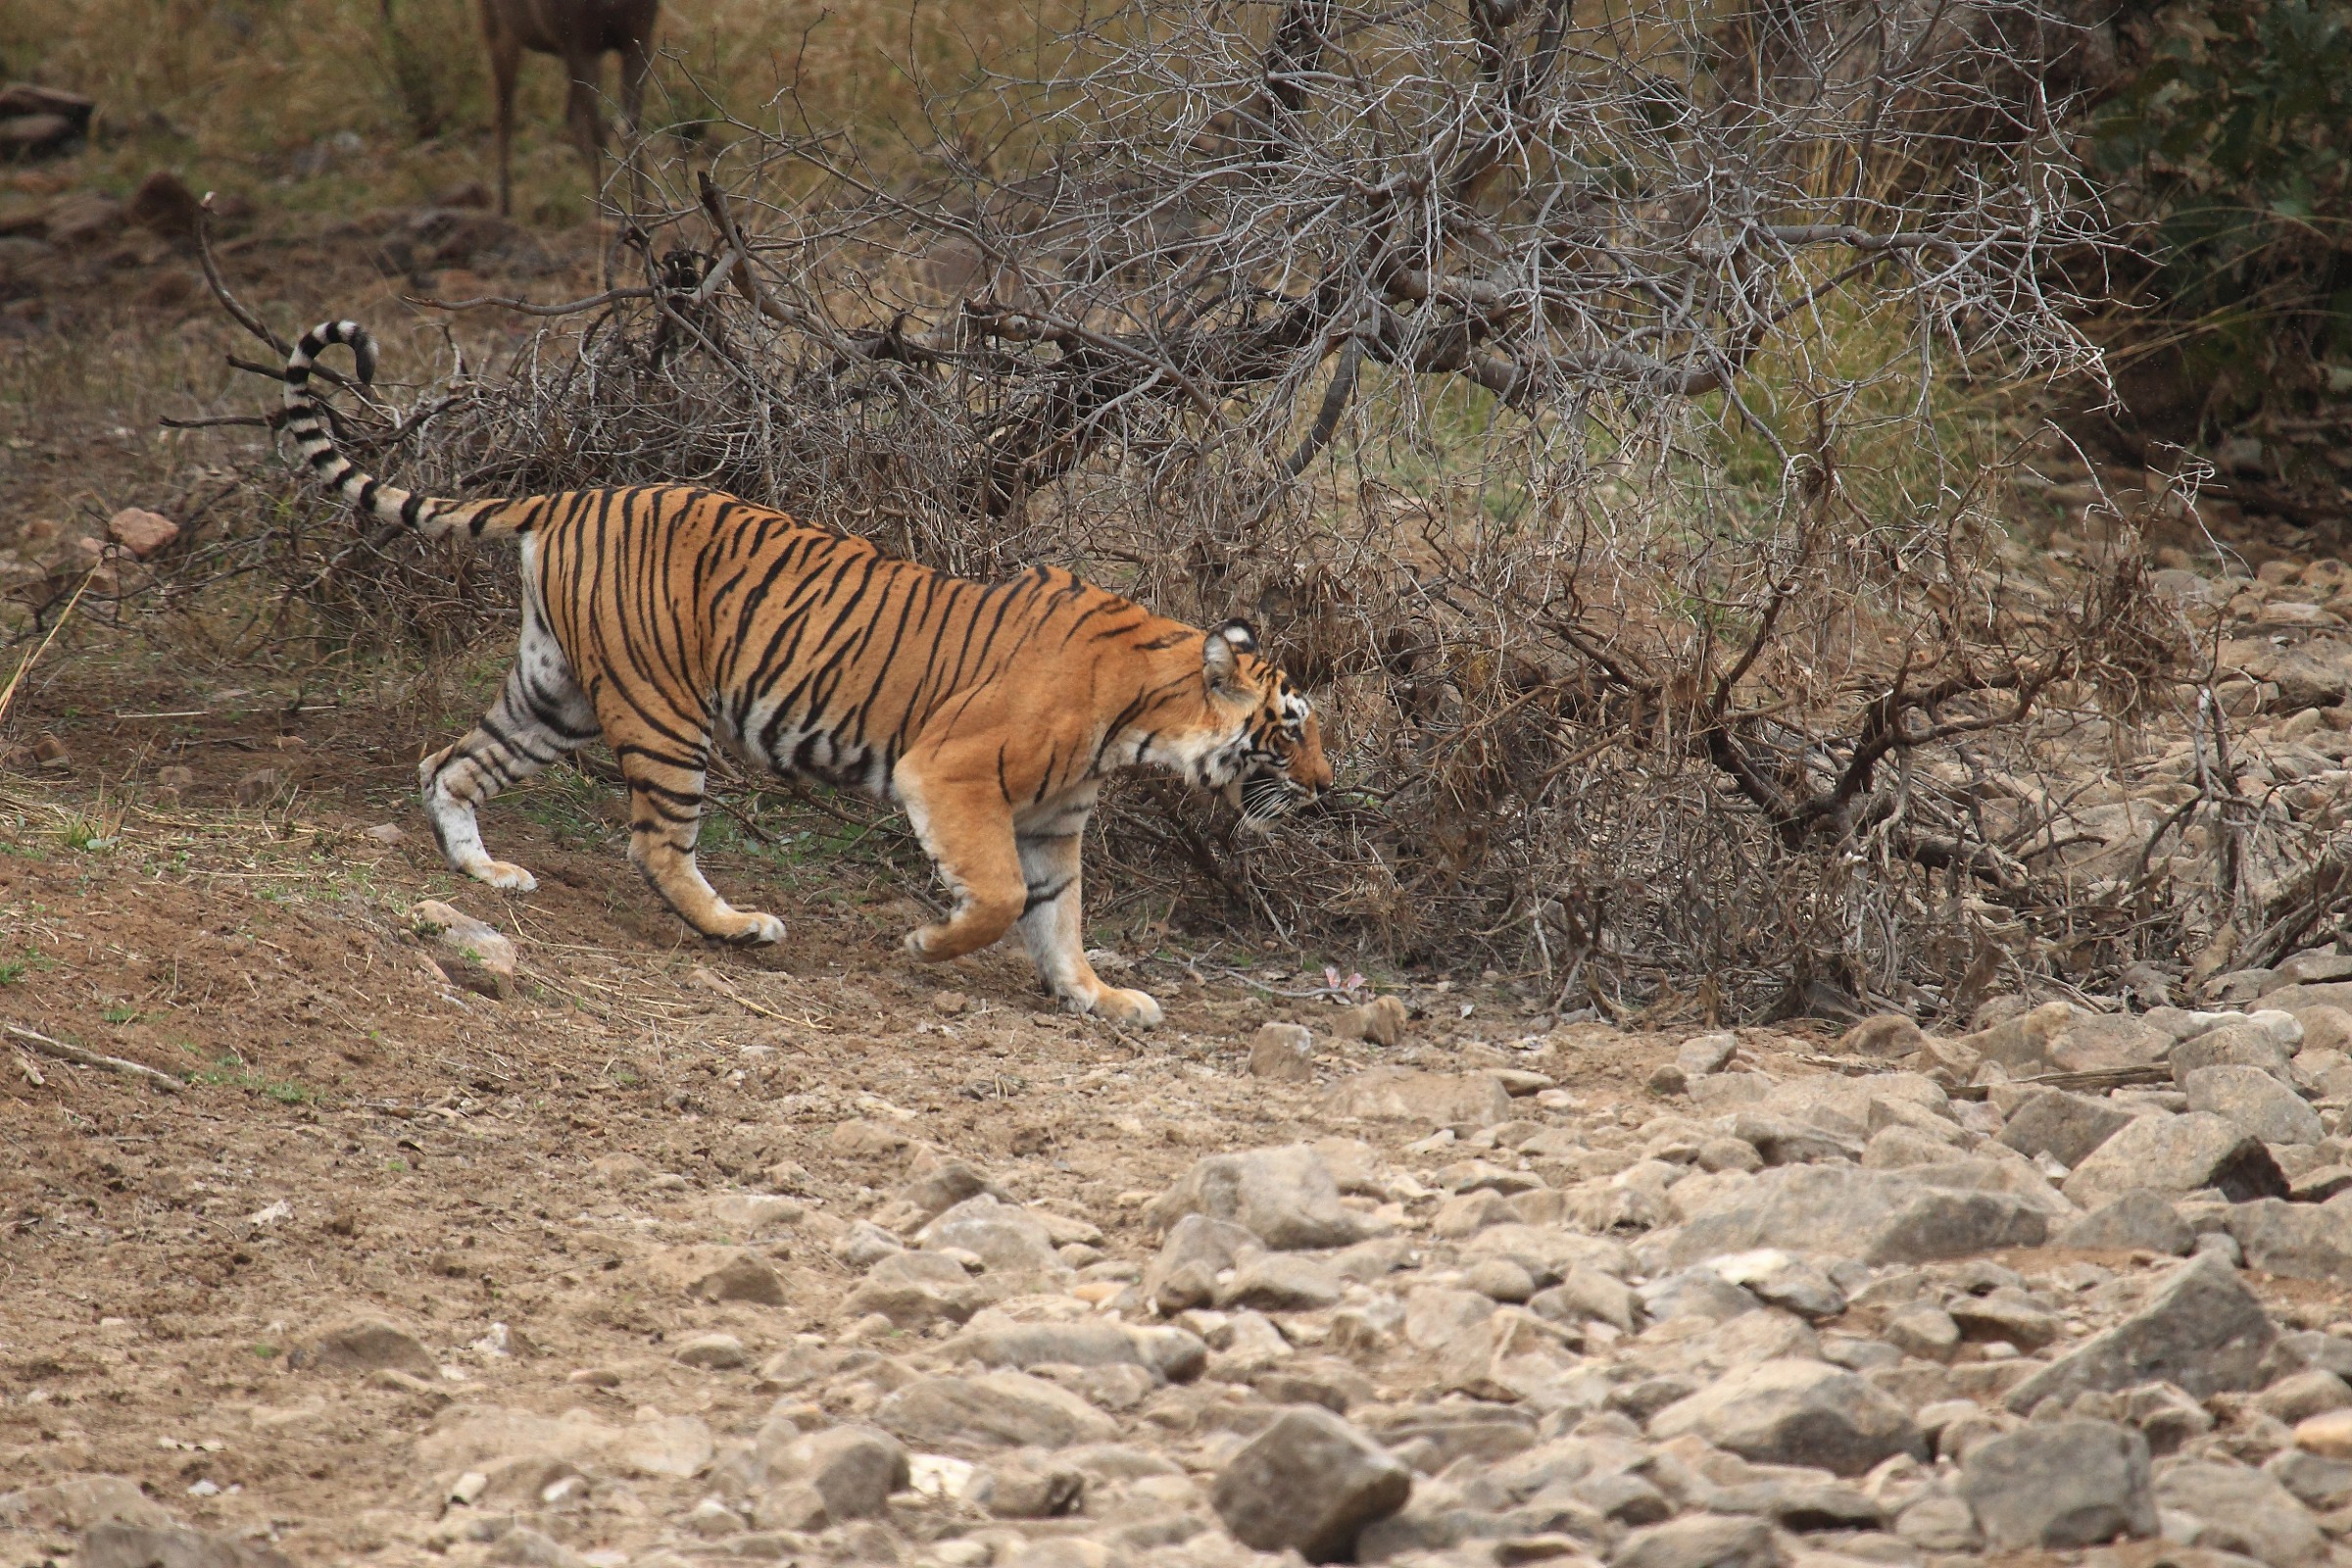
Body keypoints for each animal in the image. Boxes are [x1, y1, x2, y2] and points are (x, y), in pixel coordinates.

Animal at [282, 320, 1331, 1026]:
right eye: (1289, 727)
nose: (1326, 789)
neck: (1140, 720)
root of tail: (570, 497)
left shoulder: (1053, 822)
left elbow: (1059, 919)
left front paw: (1100, 996)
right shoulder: (950, 775)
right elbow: (998, 900)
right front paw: (926, 945)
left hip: (558, 695)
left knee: (449, 765)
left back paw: (488, 873)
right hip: (663, 712)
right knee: (654, 842)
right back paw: (738, 927)